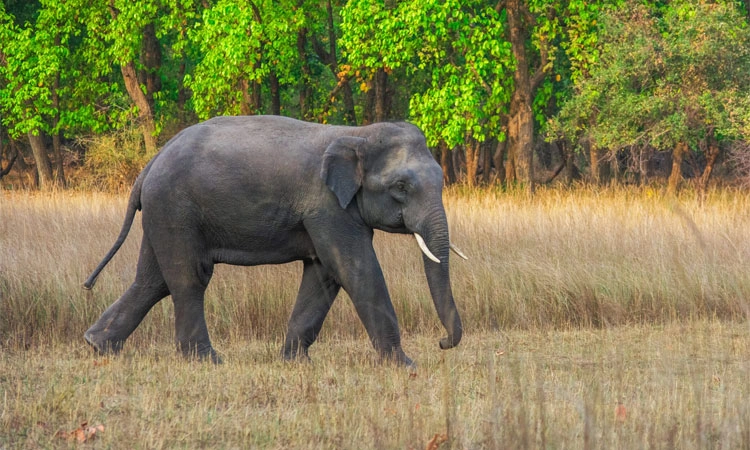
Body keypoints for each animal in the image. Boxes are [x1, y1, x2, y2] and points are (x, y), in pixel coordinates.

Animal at [83, 115, 465, 366]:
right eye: (401, 187)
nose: (442, 342)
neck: (356, 134)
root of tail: (150, 164)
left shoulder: (327, 212)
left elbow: (324, 273)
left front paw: (295, 362)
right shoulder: (326, 205)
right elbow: (355, 269)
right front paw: (404, 364)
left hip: (163, 213)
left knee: (152, 281)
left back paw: (98, 346)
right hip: (176, 209)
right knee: (189, 278)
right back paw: (207, 360)